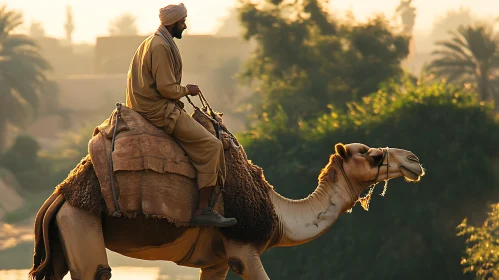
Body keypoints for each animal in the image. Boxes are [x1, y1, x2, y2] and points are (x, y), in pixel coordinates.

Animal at [27, 105, 426, 280]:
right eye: (371, 154)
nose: (414, 160)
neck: (280, 213)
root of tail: (59, 196)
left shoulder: (216, 261)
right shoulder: (243, 250)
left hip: (63, 234)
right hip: (81, 221)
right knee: (96, 272)